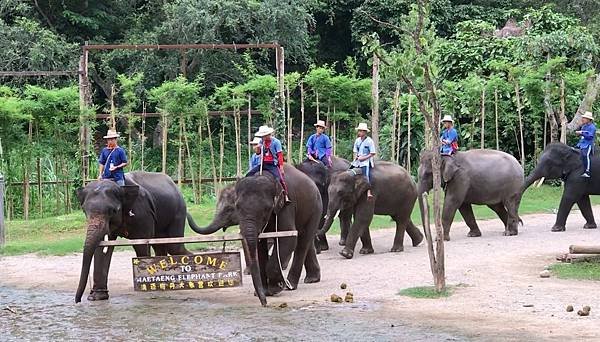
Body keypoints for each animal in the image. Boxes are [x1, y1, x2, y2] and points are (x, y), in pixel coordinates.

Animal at [74, 172, 189, 304]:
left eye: (113, 211)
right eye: (84, 210)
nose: (78, 300)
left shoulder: (143, 213)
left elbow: (141, 244)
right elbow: (103, 247)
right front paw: (97, 297)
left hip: (178, 212)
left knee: (174, 247)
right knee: (161, 245)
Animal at [189, 164, 324, 306]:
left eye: (266, 209)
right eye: (237, 207)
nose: (264, 303)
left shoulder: (287, 205)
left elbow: (287, 238)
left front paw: (276, 288)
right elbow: (258, 244)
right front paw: (265, 292)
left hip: (316, 208)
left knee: (302, 241)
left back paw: (290, 285)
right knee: (305, 241)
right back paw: (311, 279)